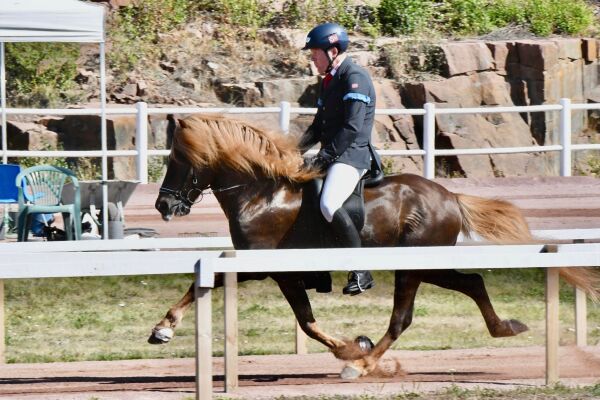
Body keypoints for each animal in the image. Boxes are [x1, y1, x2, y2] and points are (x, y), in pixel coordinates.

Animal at [150, 113, 600, 378]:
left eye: (177, 160)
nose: (162, 205)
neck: (261, 193)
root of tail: (449, 196)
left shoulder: (267, 268)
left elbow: (304, 322)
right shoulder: (271, 270)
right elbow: (304, 321)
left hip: (413, 266)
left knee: (403, 318)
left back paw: (365, 364)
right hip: (431, 265)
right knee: (472, 281)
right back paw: (504, 327)